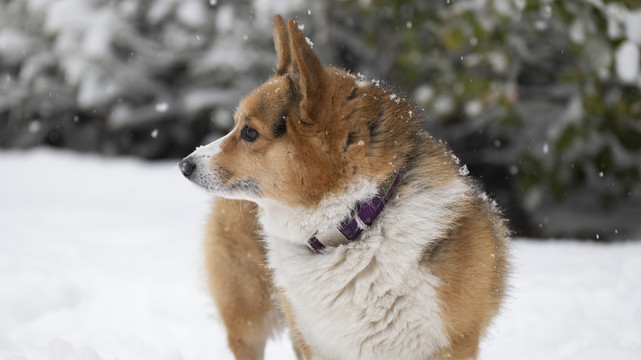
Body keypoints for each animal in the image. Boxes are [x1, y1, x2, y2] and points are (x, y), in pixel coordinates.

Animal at [180, 14, 510, 360]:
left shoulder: (454, 345)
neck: (355, 225)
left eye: (249, 133)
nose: (184, 165)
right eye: (236, 126)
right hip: (248, 318)